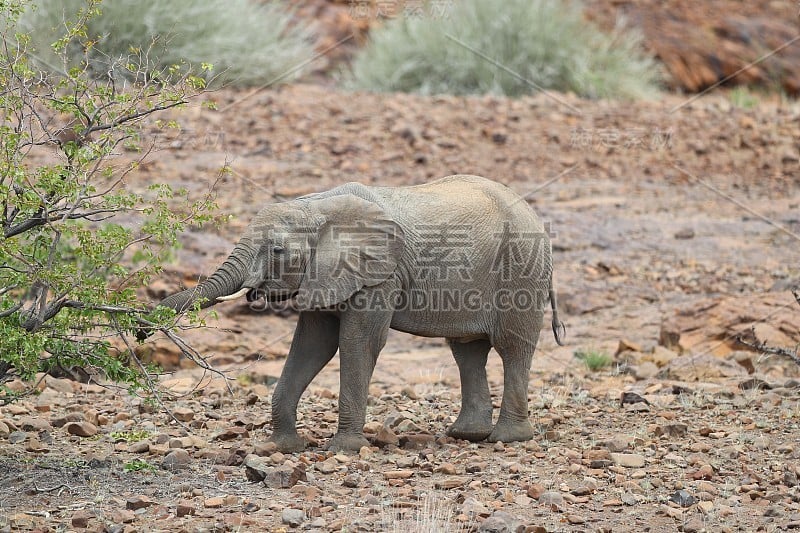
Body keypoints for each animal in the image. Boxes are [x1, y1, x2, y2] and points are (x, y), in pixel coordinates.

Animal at [156, 177, 564, 450]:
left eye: (276, 251)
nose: (145, 330)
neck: (317, 206)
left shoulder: (381, 273)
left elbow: (359, 342)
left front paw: (344, 448)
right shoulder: (326, 274)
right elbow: (313, 346)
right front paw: (284, 447)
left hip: (521, 269)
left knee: (512, 347)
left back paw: (507, 438)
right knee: (467, 350)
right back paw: (467, 435)